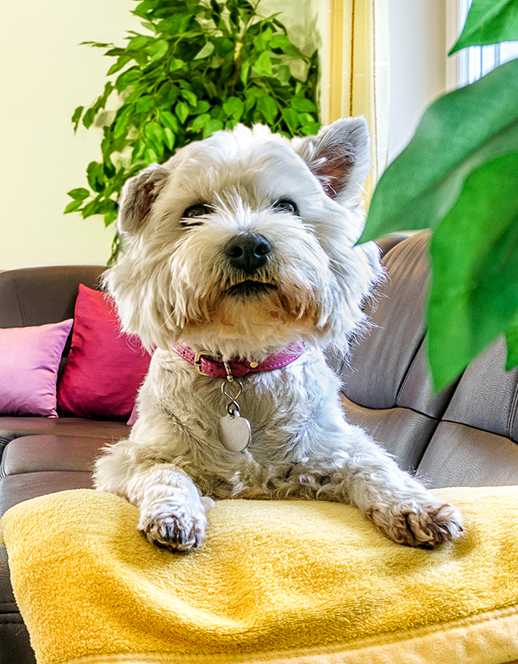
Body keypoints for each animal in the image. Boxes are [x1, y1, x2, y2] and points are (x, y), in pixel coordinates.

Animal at [93, 118, 463, 553]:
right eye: (195, 212)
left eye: (287, 207)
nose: (248, 245)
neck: (241, 363)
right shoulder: (133, 457)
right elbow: (166, 473)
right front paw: (175, 515)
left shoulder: (331, 448)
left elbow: (376, 466)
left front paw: (418, 507)